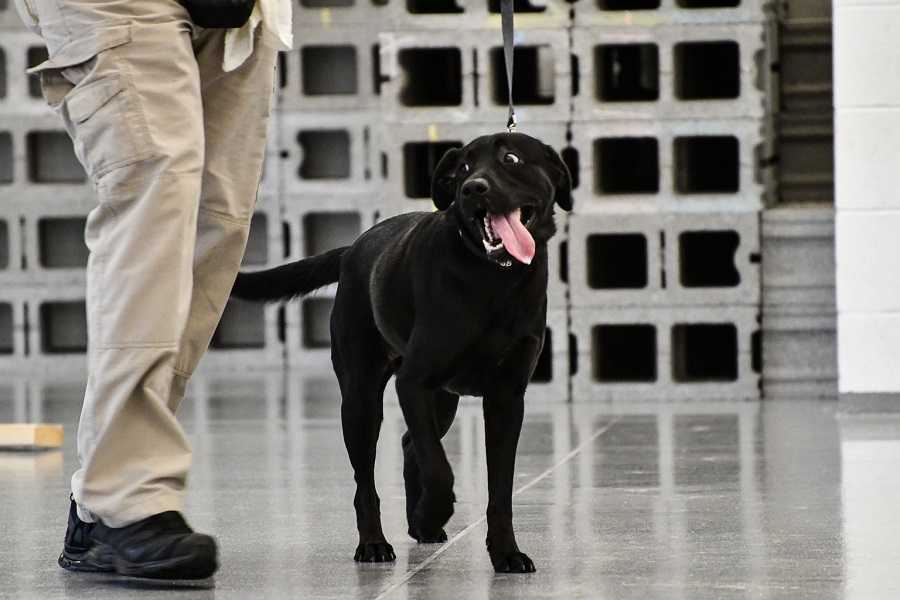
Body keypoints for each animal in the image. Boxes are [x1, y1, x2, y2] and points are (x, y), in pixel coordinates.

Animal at [232, 131, 568, 572]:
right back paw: (376, 542)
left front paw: (505, 552)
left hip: (442, 401)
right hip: (361, 401)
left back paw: (419, 525)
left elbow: (499, 488)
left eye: (511, 159)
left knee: (412, 443)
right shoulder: (413, 382)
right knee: (369, 480)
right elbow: (439, 468)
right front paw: (434, 509)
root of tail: (352, 249)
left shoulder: (506, 399)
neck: (494, 279)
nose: (473, 188)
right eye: (463, 167)